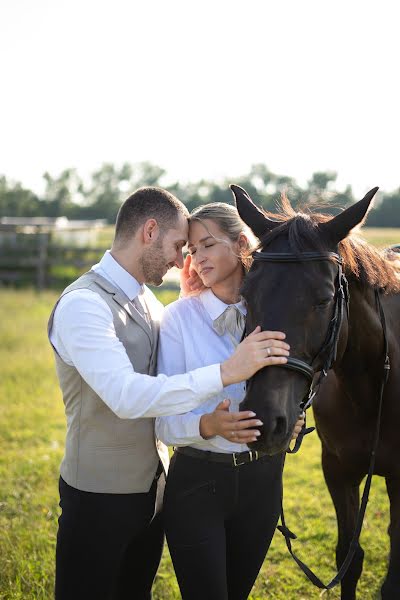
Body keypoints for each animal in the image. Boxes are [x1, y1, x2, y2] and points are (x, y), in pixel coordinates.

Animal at [230, 185, 400, 600]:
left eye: (323, 300)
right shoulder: (338, 471)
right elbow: (349, 559)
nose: (264, 418)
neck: (371, 389)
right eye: (246, 294)